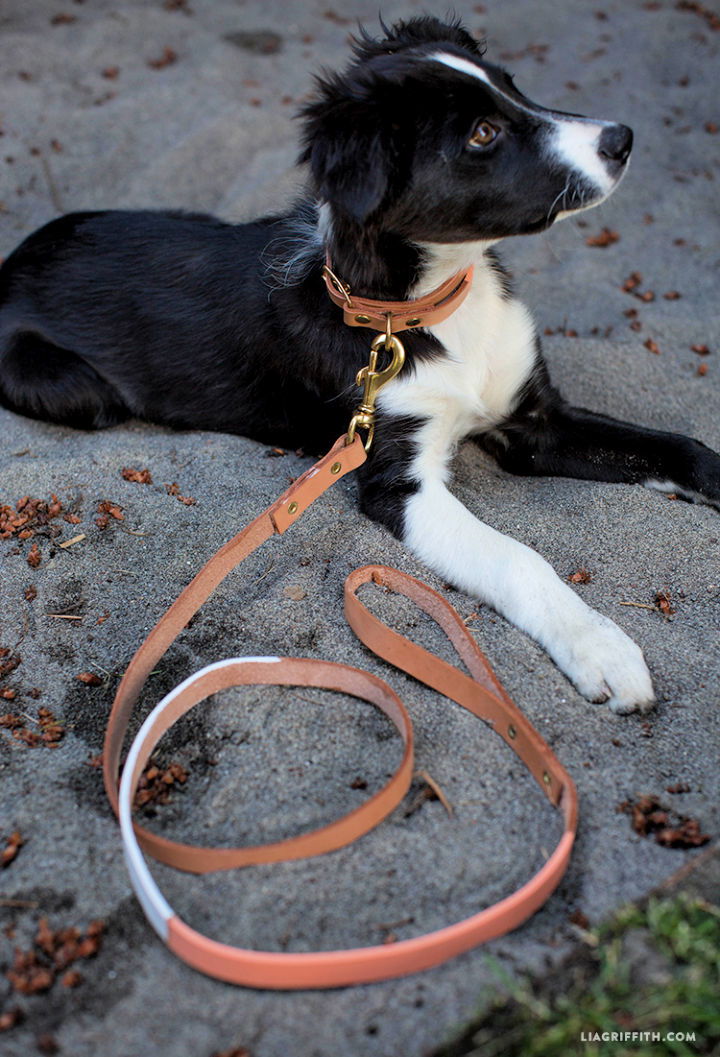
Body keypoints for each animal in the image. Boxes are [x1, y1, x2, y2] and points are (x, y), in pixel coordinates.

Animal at [1, 16, 718, 714]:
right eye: (482, 133)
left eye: (513, 86)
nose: (622, 137)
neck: (429, 308)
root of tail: (15, 258)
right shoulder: (398, 482)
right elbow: (519, 559)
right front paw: (600, 647)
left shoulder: (536, 419)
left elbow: (675, 446)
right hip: (76, 388)